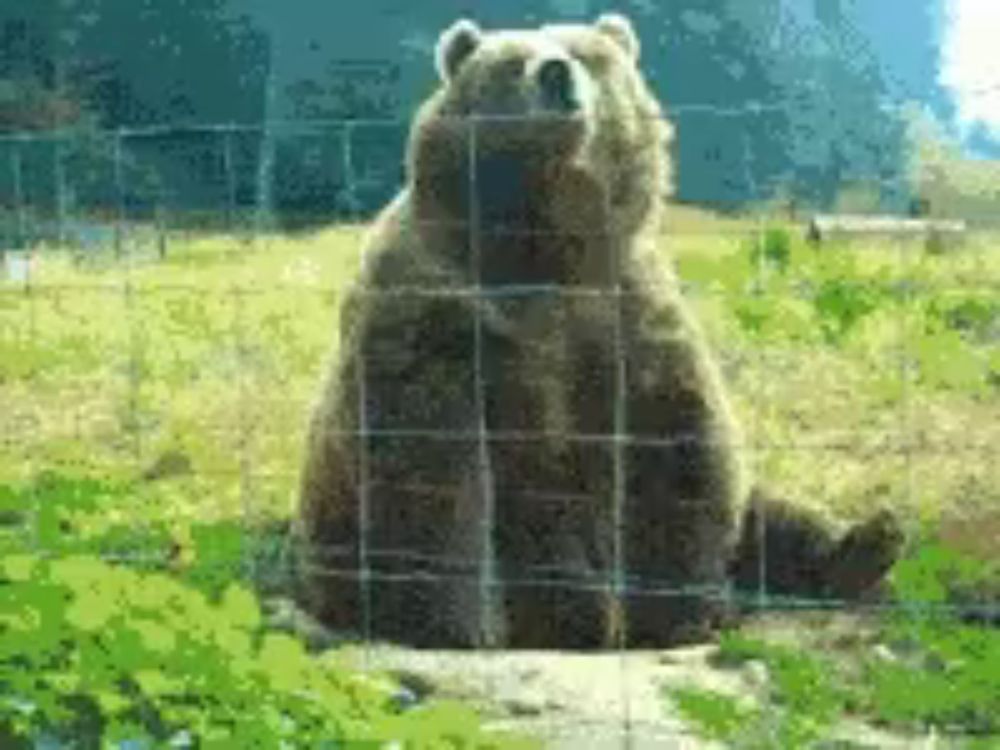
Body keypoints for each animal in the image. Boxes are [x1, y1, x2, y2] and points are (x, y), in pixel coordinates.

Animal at [292, 13, 904, 652]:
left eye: (586, 54)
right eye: (513, 62)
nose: (556, 75)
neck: (547, 243)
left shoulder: (632, 314)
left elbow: (679, 446)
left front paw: (683, 613)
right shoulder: (435, 309)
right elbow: (434, 466)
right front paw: (455, 625)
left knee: (765, 513)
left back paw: (865, 544)